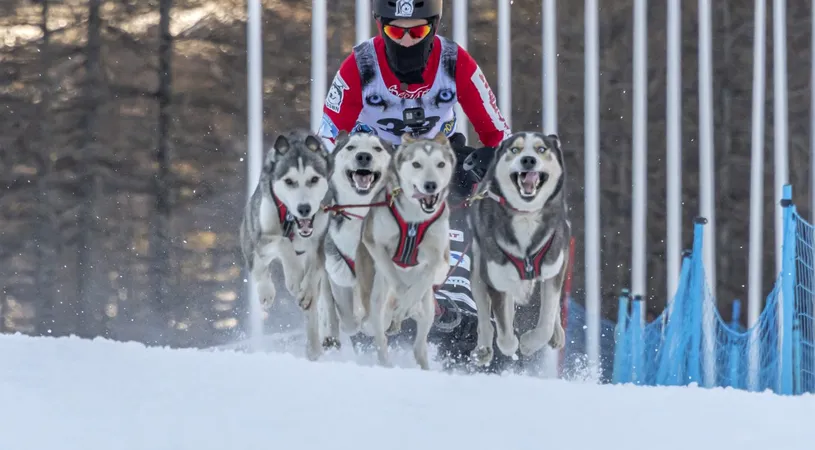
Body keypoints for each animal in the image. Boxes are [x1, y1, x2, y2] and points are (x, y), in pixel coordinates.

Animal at [241, 128, 334, 360]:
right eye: (289, 181)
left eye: (313, 179)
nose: (304, 208)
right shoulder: (262, 238)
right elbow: (283, 243)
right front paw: (292, 279)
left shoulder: (321, 240)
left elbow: (316, 267)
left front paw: (306, 290)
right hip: (250, 238)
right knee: (258, 267)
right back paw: (266, 292)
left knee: (315, 306)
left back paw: (314, 347)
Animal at [356, 131, 456, 370]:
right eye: (416, 164)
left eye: (440, 164)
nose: (431, 185)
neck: (414, 220)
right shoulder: (374, 244)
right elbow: (394, 275)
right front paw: (402, 298)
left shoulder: (440, 258)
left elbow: (424, 279)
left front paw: (406, 302)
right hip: (376, 304)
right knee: (380, 338)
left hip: (428, 311)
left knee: (419, 345)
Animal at [466, 129, 572, 366]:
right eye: (515, 149)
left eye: (542, 149)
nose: (528, 160)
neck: (526, 216)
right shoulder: (496, 280)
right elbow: (504, 332)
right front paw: (513, 344)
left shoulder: (555, 268)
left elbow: (547, 319)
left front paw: (530, 343)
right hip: (478, 272)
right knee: (485, 317)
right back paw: (484, 348)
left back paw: (557, 333)